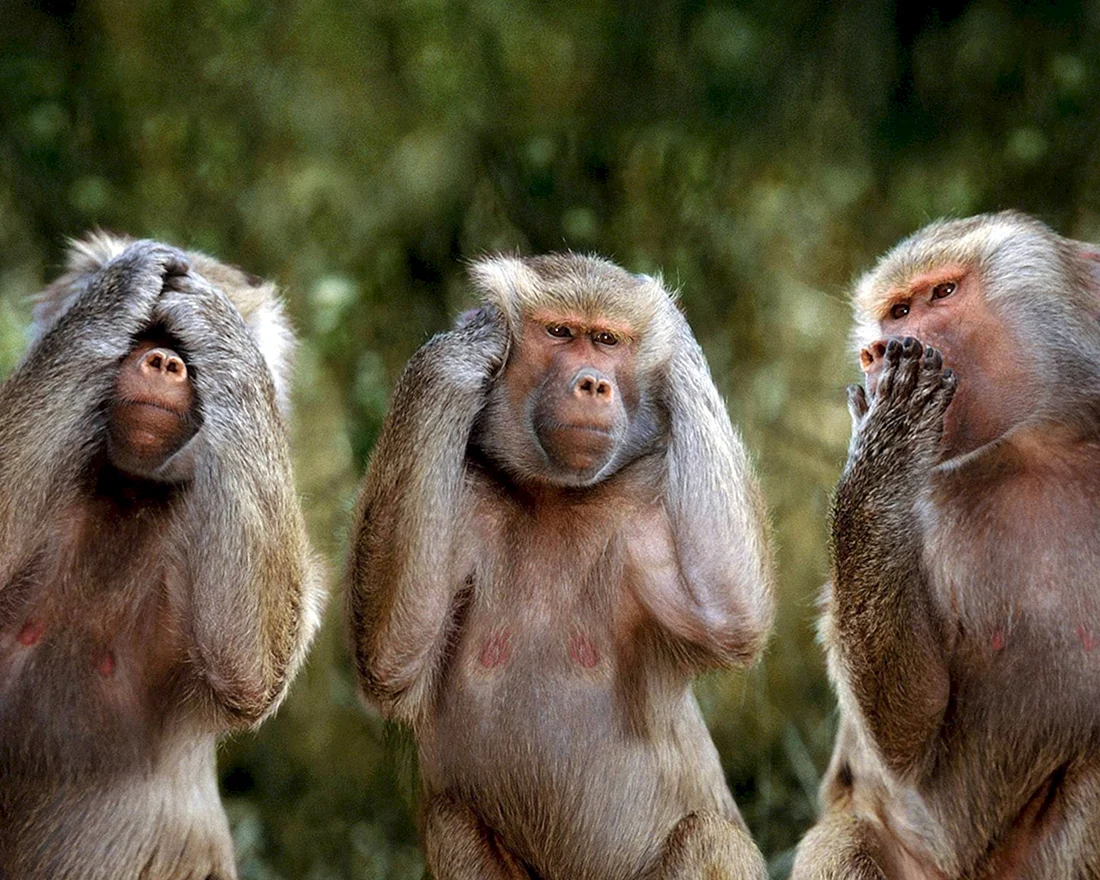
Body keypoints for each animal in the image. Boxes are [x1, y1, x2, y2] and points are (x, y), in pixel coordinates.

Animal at [0, 234, 325, 880]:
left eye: (186, 352)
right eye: (145, 334)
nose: (164, 362)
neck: (127, 495)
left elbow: (252, 664)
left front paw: (215, 320)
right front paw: (121, 286)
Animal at [346, 253, 775, 880]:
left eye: (607, 339)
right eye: (560, 332)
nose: (593, 383)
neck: (553, 496)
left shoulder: (643, 508)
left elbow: (732, 615)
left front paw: (677, 338)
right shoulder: (466, 498)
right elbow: (390, 659)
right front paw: (464, 347)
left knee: (711, 838)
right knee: (452, 823)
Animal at [791, 211, 1100, 879]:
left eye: (942, 294)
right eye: (895, 311)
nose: (877, 350)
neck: (1036, 448)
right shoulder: (923, 501)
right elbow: (910, 730)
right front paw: (884, 441)